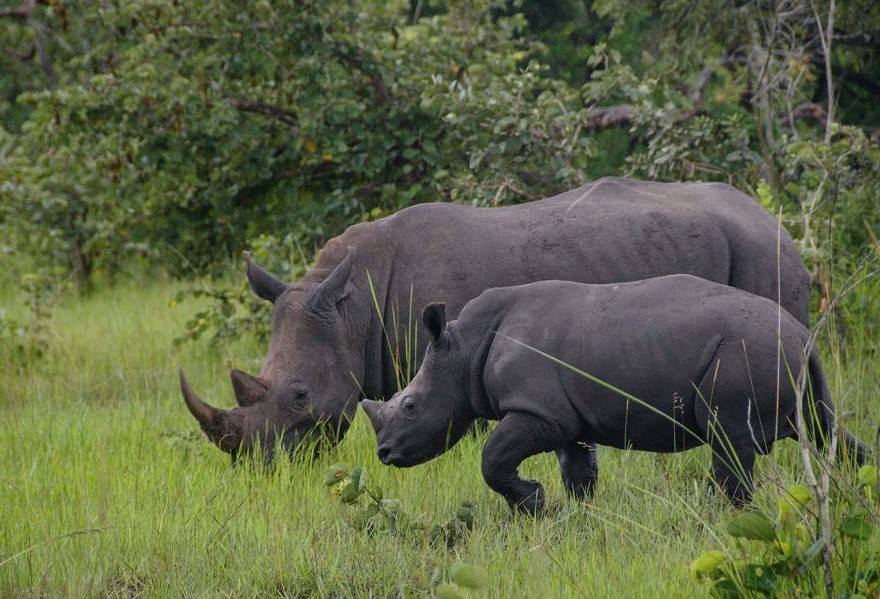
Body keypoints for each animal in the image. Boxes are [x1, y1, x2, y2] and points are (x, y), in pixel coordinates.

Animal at [360, 274, 868, 512]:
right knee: (826, 430)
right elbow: (579, 473)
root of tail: (803, 337)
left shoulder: (537, 412)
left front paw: (533, 505)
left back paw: (718, 515)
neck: (463, 348)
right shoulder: (567, 420)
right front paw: (569, 516)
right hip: (787, 361)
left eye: (410, 406)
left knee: (729, 442)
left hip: (747, 352)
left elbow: (492, 458)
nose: (384, 453)